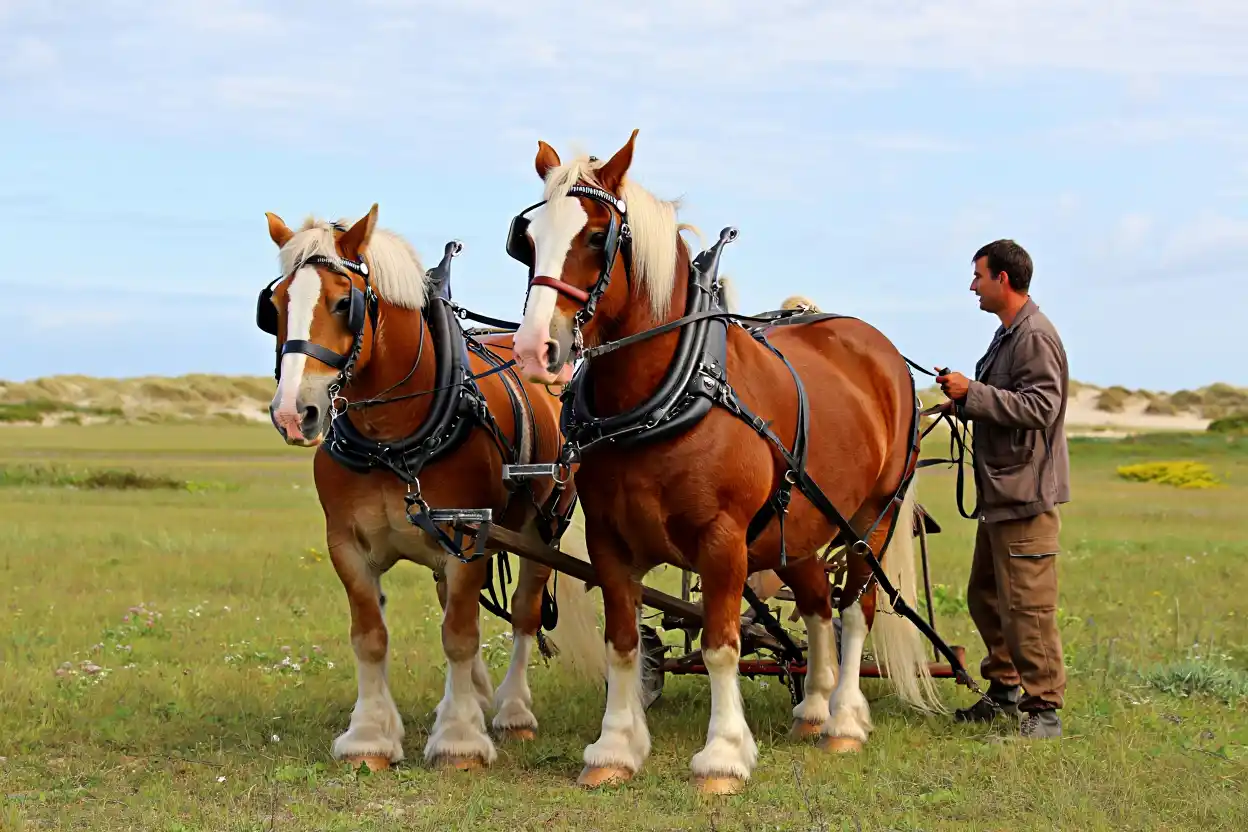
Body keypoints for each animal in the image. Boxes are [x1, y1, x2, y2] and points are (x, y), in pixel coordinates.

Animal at [257, 205, 605, 773]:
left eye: (343, 302)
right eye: (276, 304)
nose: (292, 412)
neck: (391, 441)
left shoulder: (468, 539)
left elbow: (460, 636)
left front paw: (459, 740)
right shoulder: (347, 546)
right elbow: (370, 636)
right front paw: (370, 736)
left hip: (542, 527)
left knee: (524, 613)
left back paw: (511, 710)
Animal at [506, 131, 946, 794]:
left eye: (596, 235)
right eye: (527, 240)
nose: (537, 349)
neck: (666, 395)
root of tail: (882, 352)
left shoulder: (723, 540)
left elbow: (720, 644)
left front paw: (723, 755)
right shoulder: (611, 540)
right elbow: (623, 643)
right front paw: (614, 749)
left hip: (870, 522)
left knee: (855, 610)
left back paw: (844, 719)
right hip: (797, 527)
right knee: (817, 604)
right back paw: (813, 707)